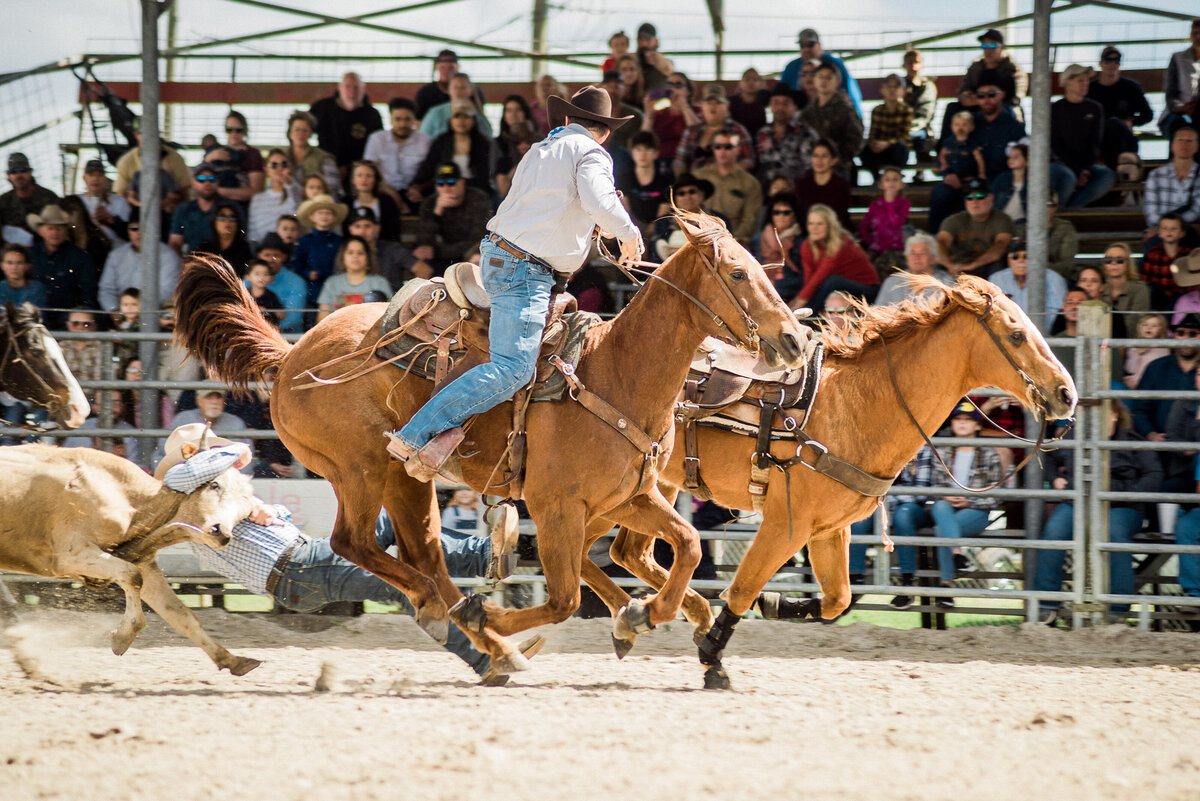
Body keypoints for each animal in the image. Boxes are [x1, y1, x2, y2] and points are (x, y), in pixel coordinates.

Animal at [0, 443, 262, 676]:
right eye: (214, 485)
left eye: (245, 510)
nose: (222, 532)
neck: (131, 502)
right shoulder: (71, 554)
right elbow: (131, 576)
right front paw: (124, 635)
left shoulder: (144, 564)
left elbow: (181, 615)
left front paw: (231, 660)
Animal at [174, 209, 811, 681]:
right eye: (737, 274)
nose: (793, 339)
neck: (615, 374)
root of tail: (291, 356)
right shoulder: (557, 509)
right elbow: (564, 597)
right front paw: (613, 616)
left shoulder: (629, 497)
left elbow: (688, 545)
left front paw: (648, 613)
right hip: (360, 466)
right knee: (353, 543)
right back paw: (466, 617)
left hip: (406, 483)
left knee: (424, 553)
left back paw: (475, 630)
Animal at [571, 276, 1080, 690]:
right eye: (1016, 334)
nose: (1066, 393)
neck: (857, 405)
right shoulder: (786, 525)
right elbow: (743, 588)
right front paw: (713, 658)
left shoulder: (830, 531)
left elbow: (837, 599)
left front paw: (778, 604)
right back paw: (645, 614)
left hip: (645, 492)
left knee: (623, 552)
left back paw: (651, 612)